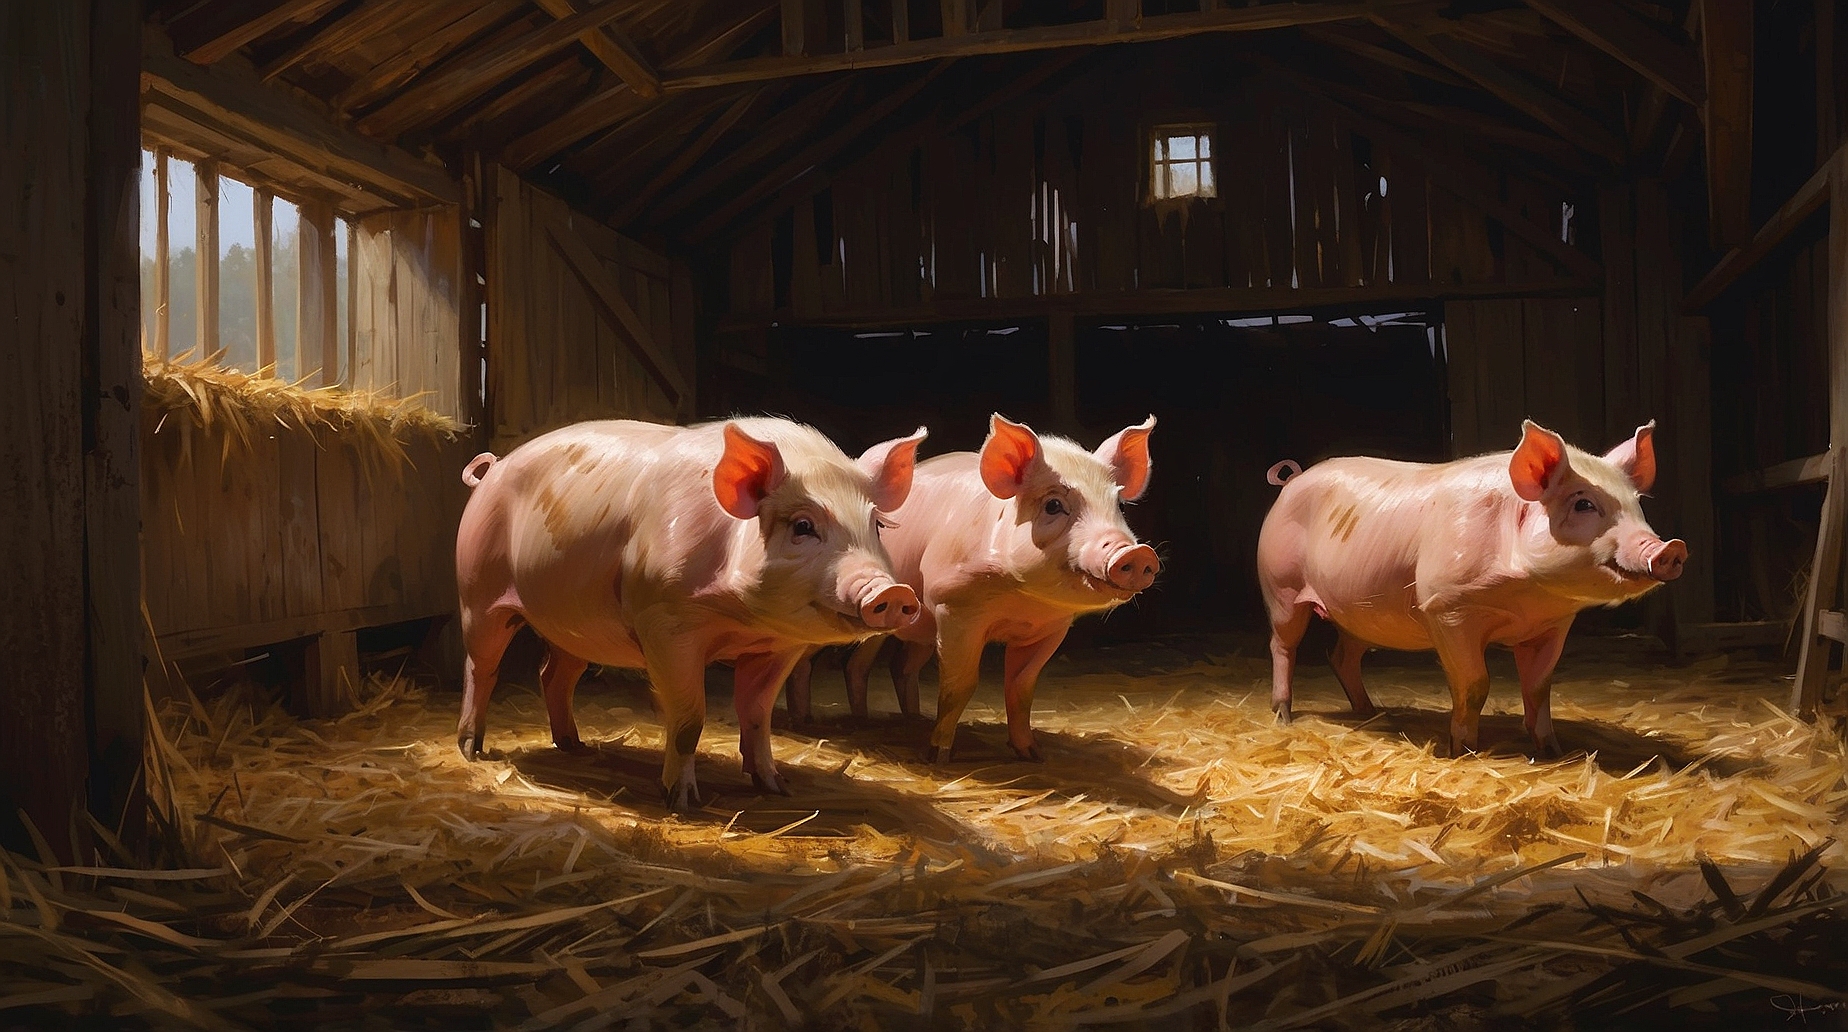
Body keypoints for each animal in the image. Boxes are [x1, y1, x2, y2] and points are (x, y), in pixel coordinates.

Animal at [453, 418, 927, 811]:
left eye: (877, 526)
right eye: (803, 526)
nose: (892, 591)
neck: (742, 619)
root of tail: (492, 470)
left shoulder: (779, 647)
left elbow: (757, 715)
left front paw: (776, 787)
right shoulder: (665, 624)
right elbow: (688, 719)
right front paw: (681, 802)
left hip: (573, 626)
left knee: (553, 674)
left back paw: (574, 746)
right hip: (477, 594)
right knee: (481, 667)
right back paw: (471, 749)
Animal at [788, 414, 1159, 762]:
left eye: (1119, 506)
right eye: (1053, 505)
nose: (1136, 552)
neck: (1022, 603)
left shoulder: (1050, 629)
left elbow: (1021, 689)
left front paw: (1033, 754)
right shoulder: (953, 607)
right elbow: (960, 686)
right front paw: (938, 756)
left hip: (909, 628)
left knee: (879, 666)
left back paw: (893, 720)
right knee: (808, 664)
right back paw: (804, 722)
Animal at [1257, 419, 1688, 759]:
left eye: (1637, 505)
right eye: (1583, 504)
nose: (1670, 548)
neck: (1527, 600)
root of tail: (1292, 479)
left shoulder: (1552, 625)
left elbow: (1539, 688)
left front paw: (1553, 751)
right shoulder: (1446, 609)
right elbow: (1475, 685)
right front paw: (1463, 751)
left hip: (1358, 614)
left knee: (1342, 657)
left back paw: (1372, 713)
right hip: (1280, 588)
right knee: (1283, 647)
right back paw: (1283, 716)